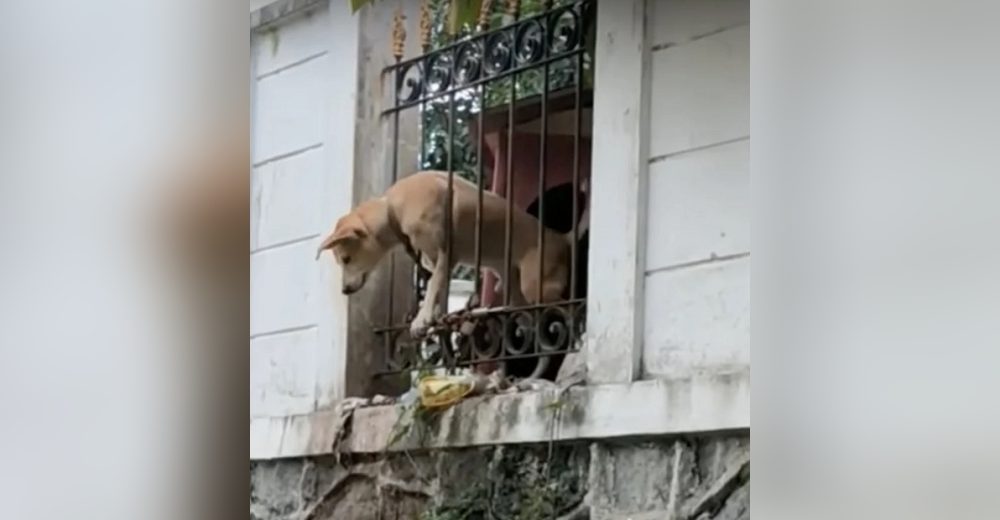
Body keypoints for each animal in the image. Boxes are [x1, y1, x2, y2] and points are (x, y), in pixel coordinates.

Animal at [316, 171, 576, 338]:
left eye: (346, 259)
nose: (344, 290)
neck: (393, 209)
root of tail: (560, 237)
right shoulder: (437, 261)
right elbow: (439, 289)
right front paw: (435, 316)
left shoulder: (445, 254)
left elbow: (432, 286)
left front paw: (421, 319)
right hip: (514, 283)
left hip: (537, 286)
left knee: (562, 306)